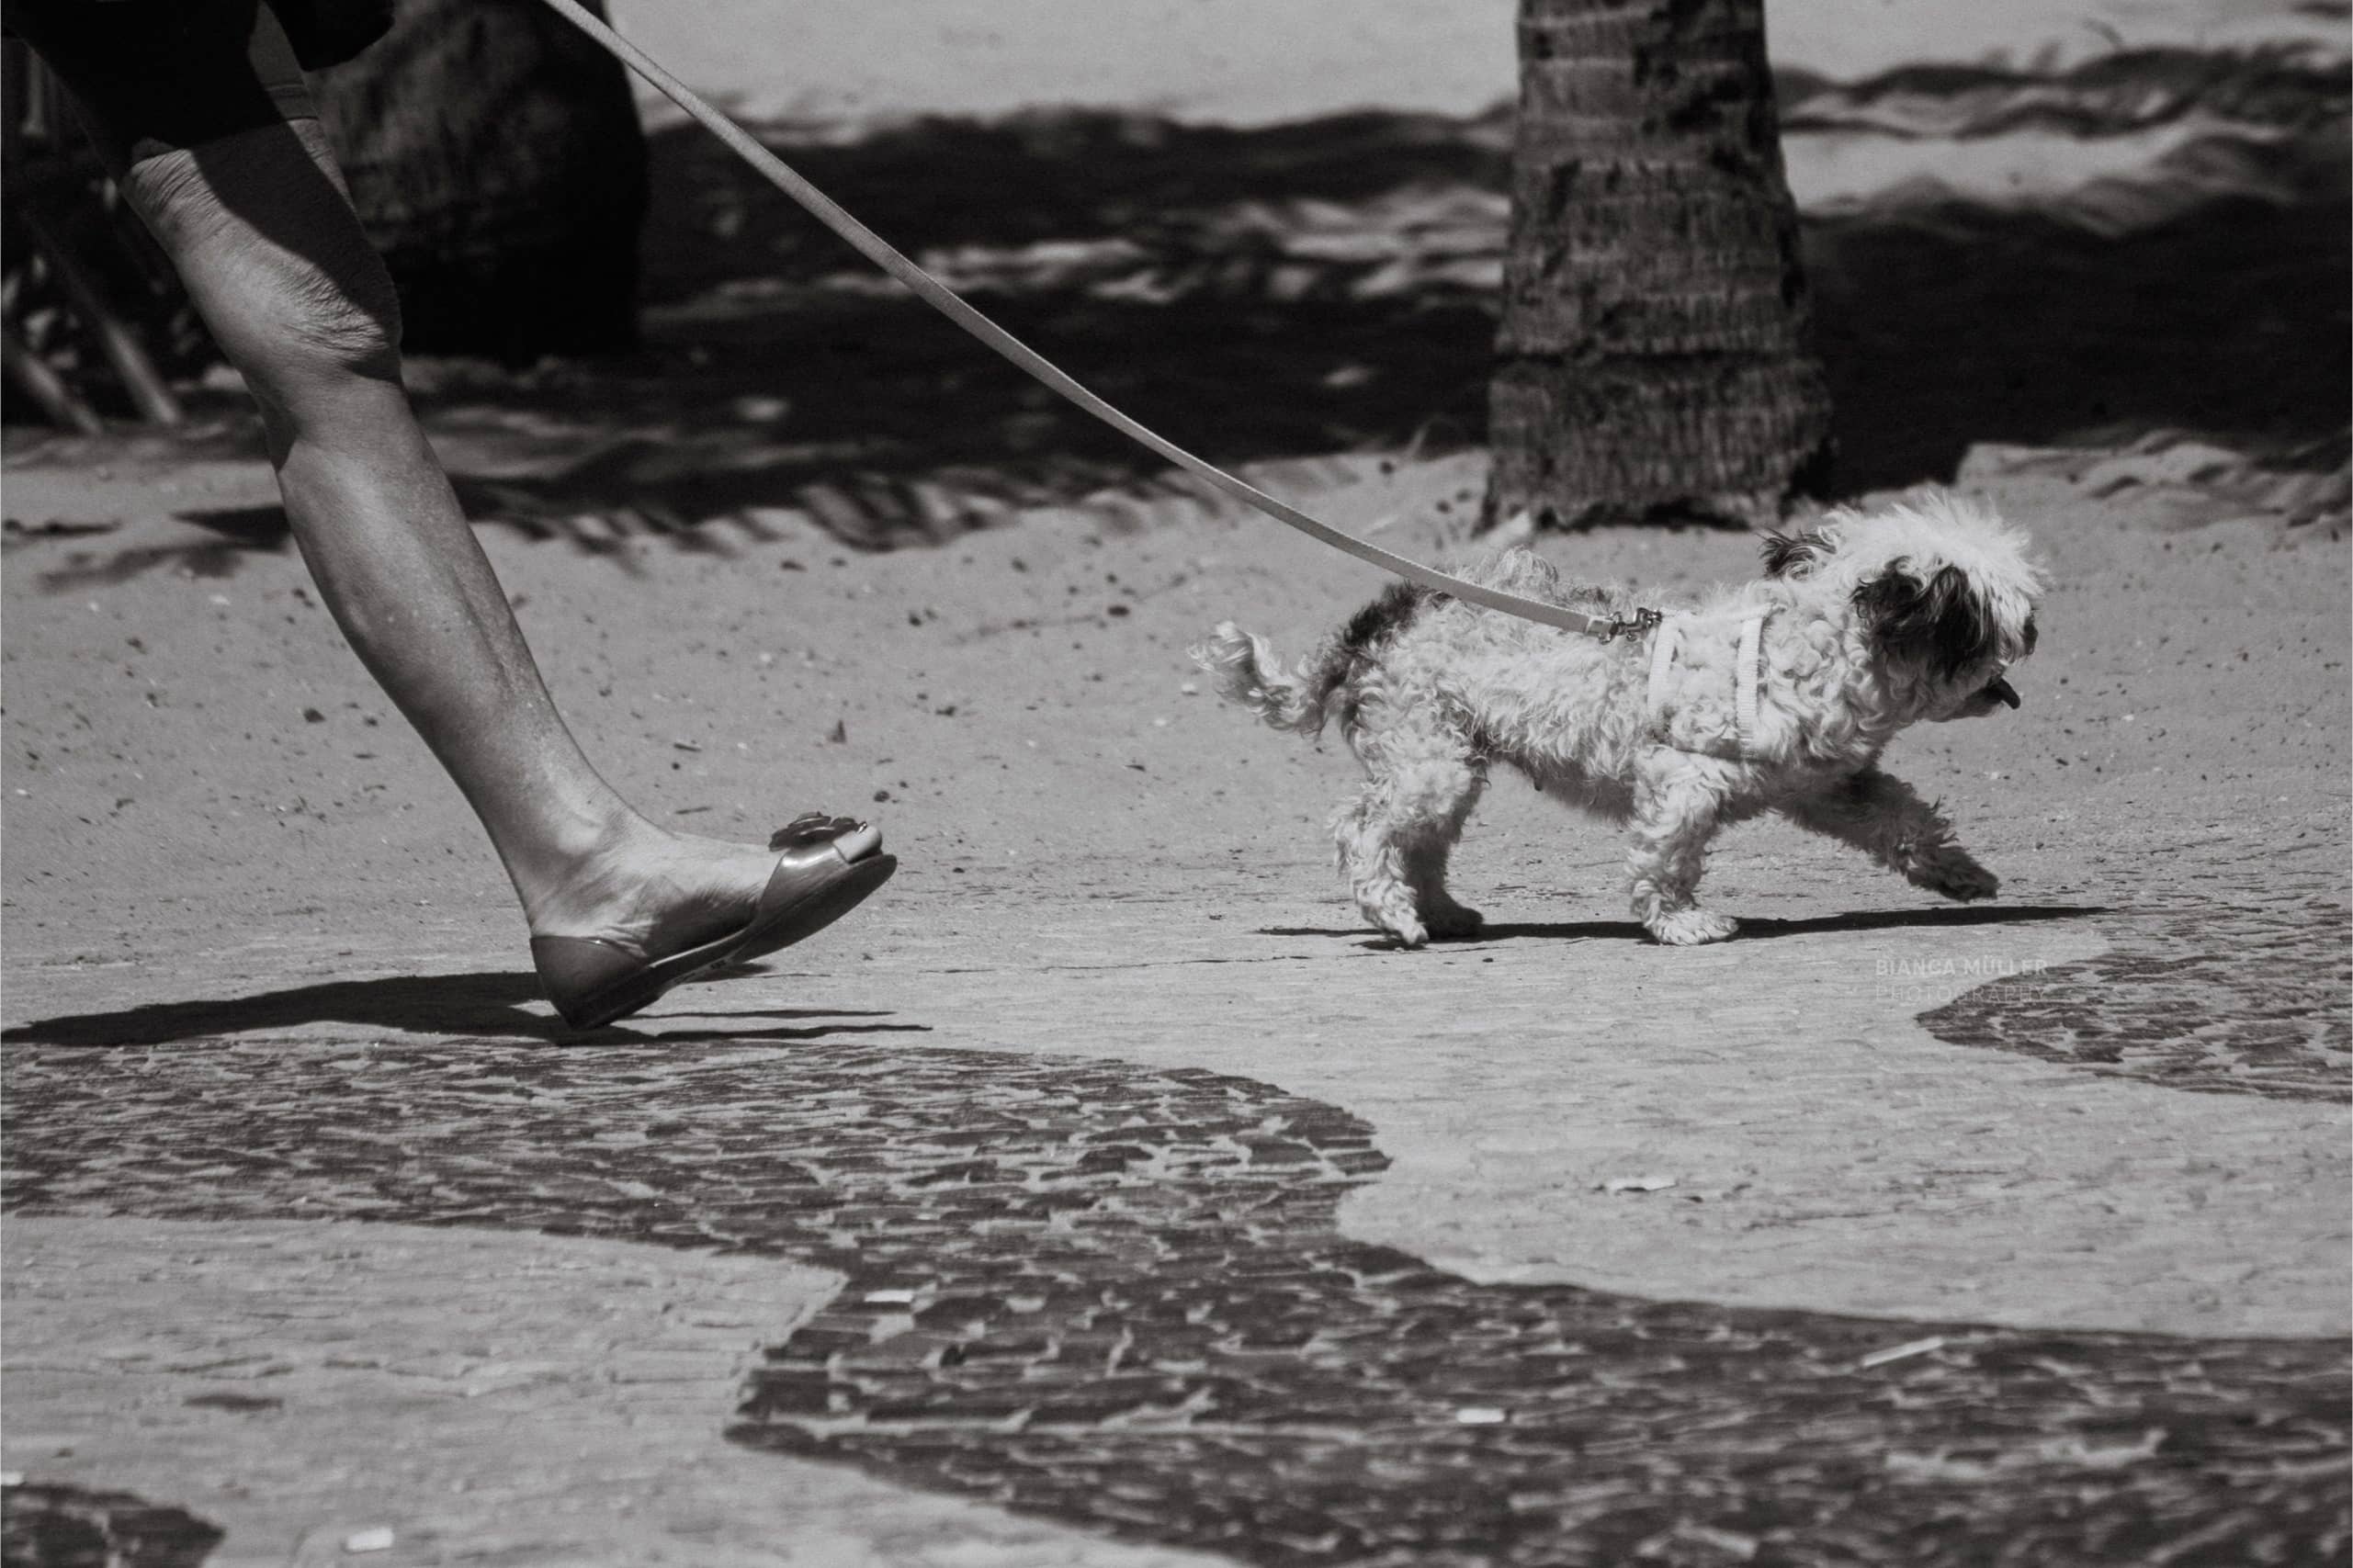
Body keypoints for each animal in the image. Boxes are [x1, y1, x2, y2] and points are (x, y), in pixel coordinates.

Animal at [1194, 491, 2042, 949]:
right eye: (2001, 612)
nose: (2035, 631)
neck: (1804, 644)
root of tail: (1378, 619)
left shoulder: (1829, 785)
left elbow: (1904, 819)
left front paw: (1959, 873)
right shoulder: (1682, 780)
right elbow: (1666, 858)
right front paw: (1680, 923)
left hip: (1448, 765)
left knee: (1422, 845)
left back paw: (1440, 910)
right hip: (1426, 764)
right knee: (1360, 829)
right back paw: (1396, 917)